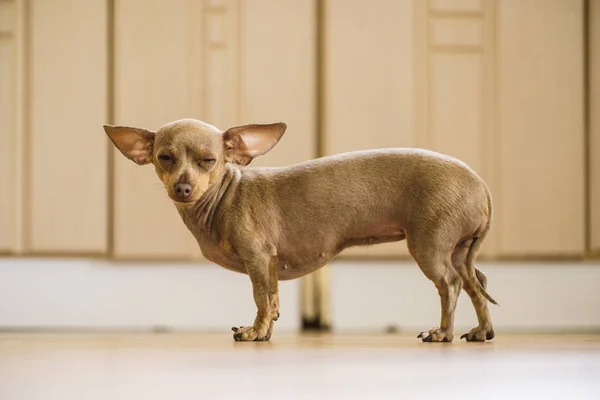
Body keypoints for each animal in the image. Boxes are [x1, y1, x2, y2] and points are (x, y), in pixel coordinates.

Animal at [104, 117, 496, 342]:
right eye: (164, 158)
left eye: (208, 161)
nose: (183, 188)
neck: (222, 199)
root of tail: (479, 182)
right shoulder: (270, 265)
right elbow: (274, 299)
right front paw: (267, 329)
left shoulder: (259, 259)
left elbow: (261, 298)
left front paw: (255, 332)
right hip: (459, 251)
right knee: (477, 284)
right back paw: (482, 331)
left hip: (430, 246)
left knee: (451, 285)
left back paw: (443, 332)